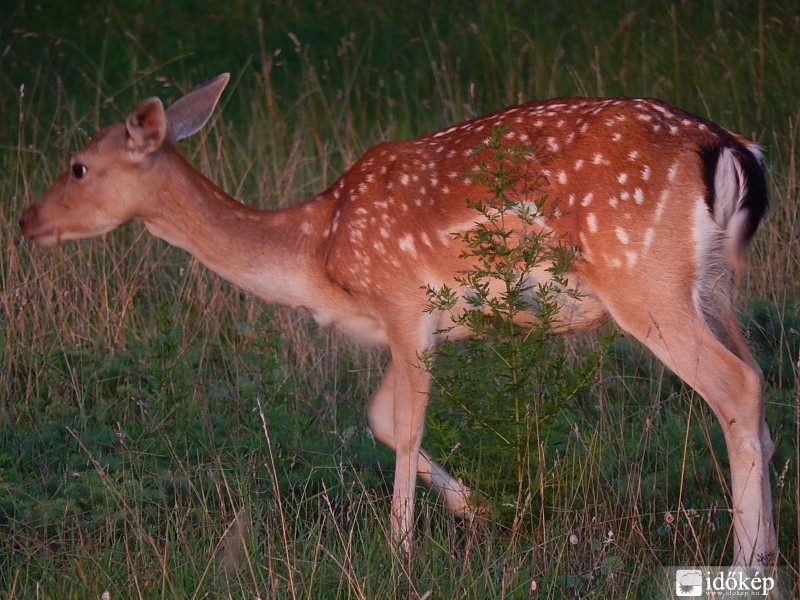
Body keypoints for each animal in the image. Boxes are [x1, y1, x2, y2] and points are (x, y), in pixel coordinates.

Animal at [17, 71, 776, 568]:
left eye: (78, 166)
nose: (26, 220)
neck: (319, 250)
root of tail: (731, 149)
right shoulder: (406, 326)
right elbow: (380, 418)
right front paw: (478, 508)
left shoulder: (408, 302)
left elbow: (405, 426)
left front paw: (399, 549)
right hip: (712, 287)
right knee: (759, 388)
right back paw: (767, 546)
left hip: (643, 280)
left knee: (734, 386)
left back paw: (746, 562)